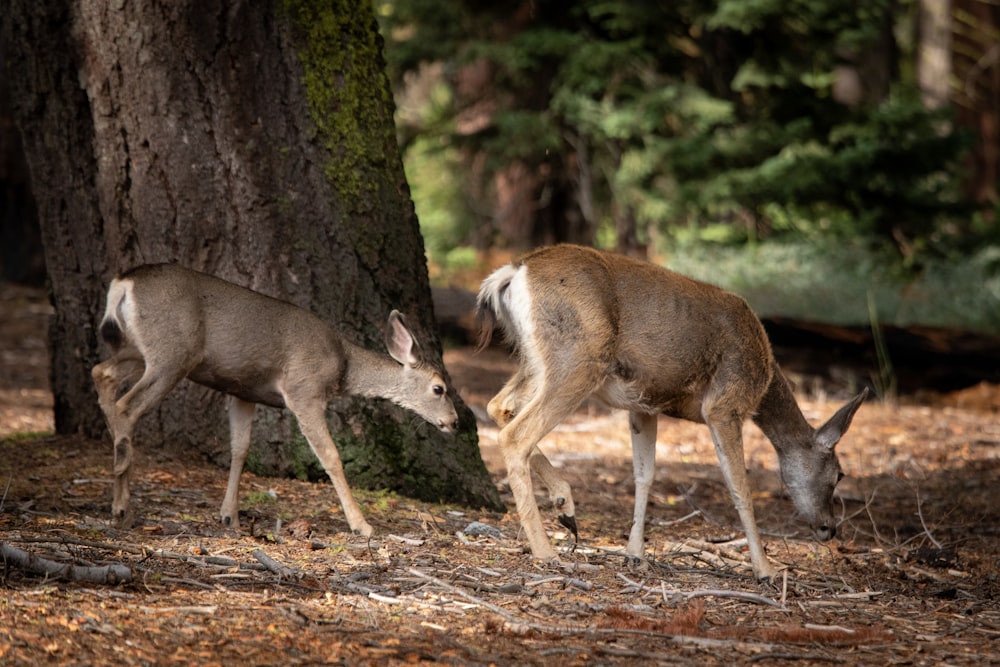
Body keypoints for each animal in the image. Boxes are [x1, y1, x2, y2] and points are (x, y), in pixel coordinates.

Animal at [92, 264, 458, 536]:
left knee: (102, 373)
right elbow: (331, 457)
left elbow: (239, 449)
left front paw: (229, 516)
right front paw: (361, 525)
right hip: (172, 353)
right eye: (439, 388)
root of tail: (124, 282)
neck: (343, 366)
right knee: (127, 405)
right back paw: (122, 507)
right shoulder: (304, 390)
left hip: (137, 348)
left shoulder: (243, 391)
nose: (454, 422)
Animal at [476, 245, 868, 580]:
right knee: (516, 434)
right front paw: (766, 570)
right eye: (839, 474)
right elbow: (739, 486)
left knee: (499, 405)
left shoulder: (643, 407)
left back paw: (565, 505)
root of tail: (515, 271)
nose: (829, 528)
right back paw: (545, 551)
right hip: (579, 358)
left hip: (536, 360)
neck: (765, 379)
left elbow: (644, 475)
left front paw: (635, 554)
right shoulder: (724, 405)